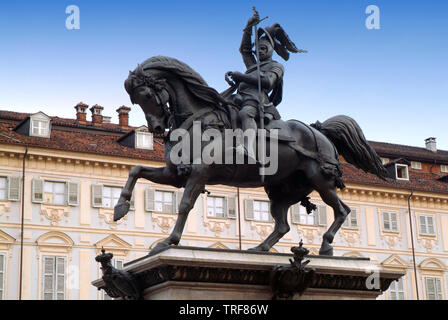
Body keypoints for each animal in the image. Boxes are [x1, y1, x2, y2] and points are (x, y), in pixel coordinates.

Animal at [113, 56, 388, 256]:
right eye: (135, 100)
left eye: (146, 95)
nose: (158, 128)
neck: (200, 118)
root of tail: (318, 131)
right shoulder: (175, 174)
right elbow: (135, 170)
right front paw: (120, 207)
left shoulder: (200, 173)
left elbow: (184, 205)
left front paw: (169, 241)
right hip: (281, 190)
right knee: (283, 224)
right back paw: (260, 248)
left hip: (321, 180)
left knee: (342, 210)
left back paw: (326, 245)